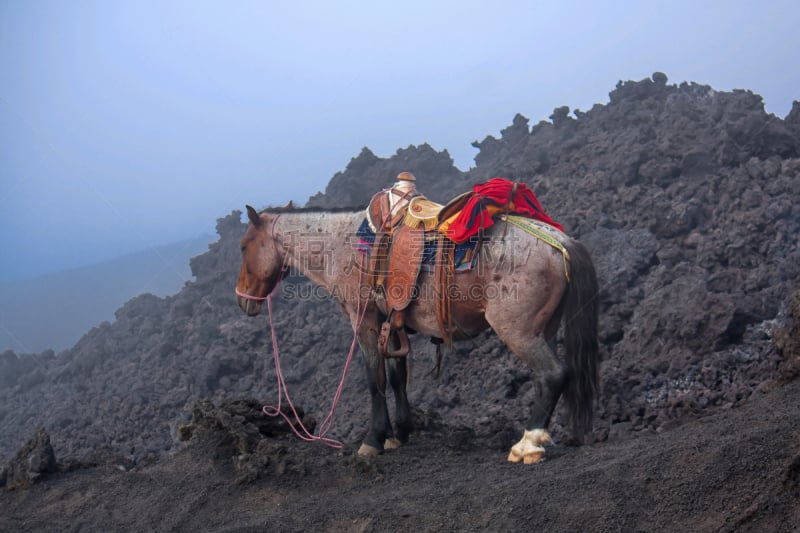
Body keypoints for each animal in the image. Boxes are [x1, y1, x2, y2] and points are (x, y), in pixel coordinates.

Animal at [238, 202, 600, 464]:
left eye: (243, 247)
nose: (243, 301)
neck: (342, 244)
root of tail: (562, 243)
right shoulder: (393, 324)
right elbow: (398, 378)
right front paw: (399, 433)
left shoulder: (365, 322)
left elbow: (375, 380)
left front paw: (374, 440)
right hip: (544, 329)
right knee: (548, 378)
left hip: (517, 330)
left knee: (552, 374)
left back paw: (527, 445)